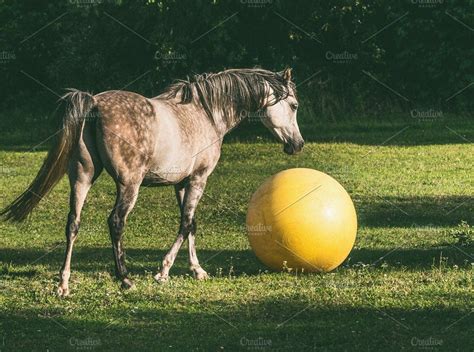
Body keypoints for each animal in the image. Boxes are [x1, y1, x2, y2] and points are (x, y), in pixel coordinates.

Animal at [0, 67, 304, 296]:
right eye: (294, 105)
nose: (298, 144)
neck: (205, 113)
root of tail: (94, 102)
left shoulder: (181, 184)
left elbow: (190, 224)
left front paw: (197, 270)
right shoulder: (198, 179)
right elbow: (185, 224)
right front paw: (163, 271)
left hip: (82, 177)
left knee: (73, 224)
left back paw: (63, 284)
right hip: (129, 185)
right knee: (116, 222)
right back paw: (125, 278)